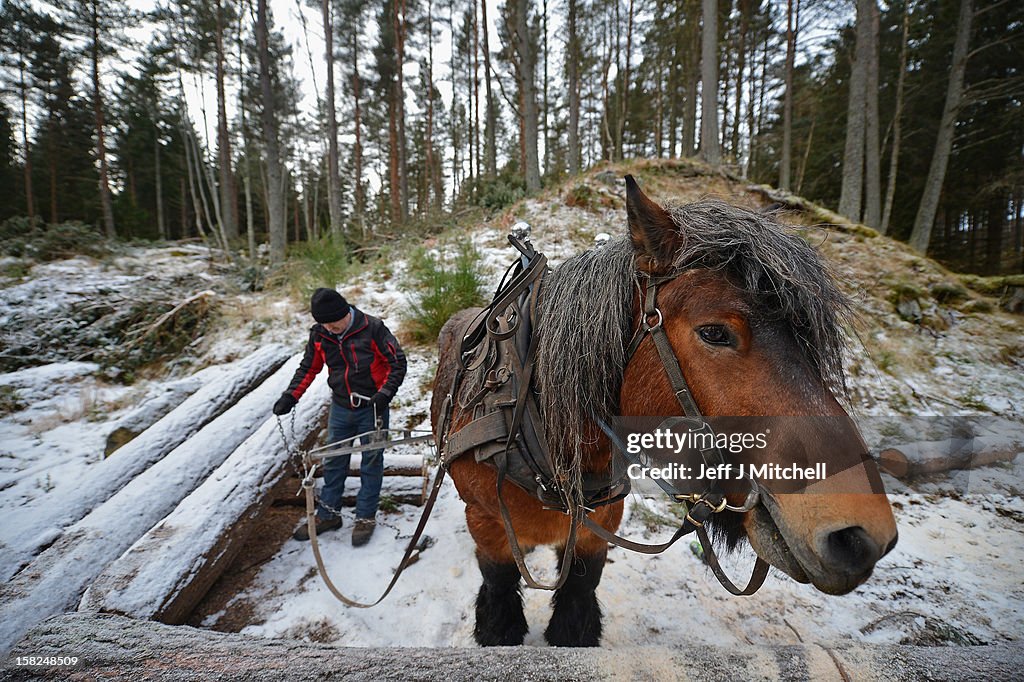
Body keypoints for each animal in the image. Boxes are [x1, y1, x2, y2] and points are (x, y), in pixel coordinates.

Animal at [428, 175, 901, 643]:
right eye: (714, 332)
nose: (862, 536)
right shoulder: (487, 526)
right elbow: (500, 590)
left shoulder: (600, 525)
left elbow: (578, 596)